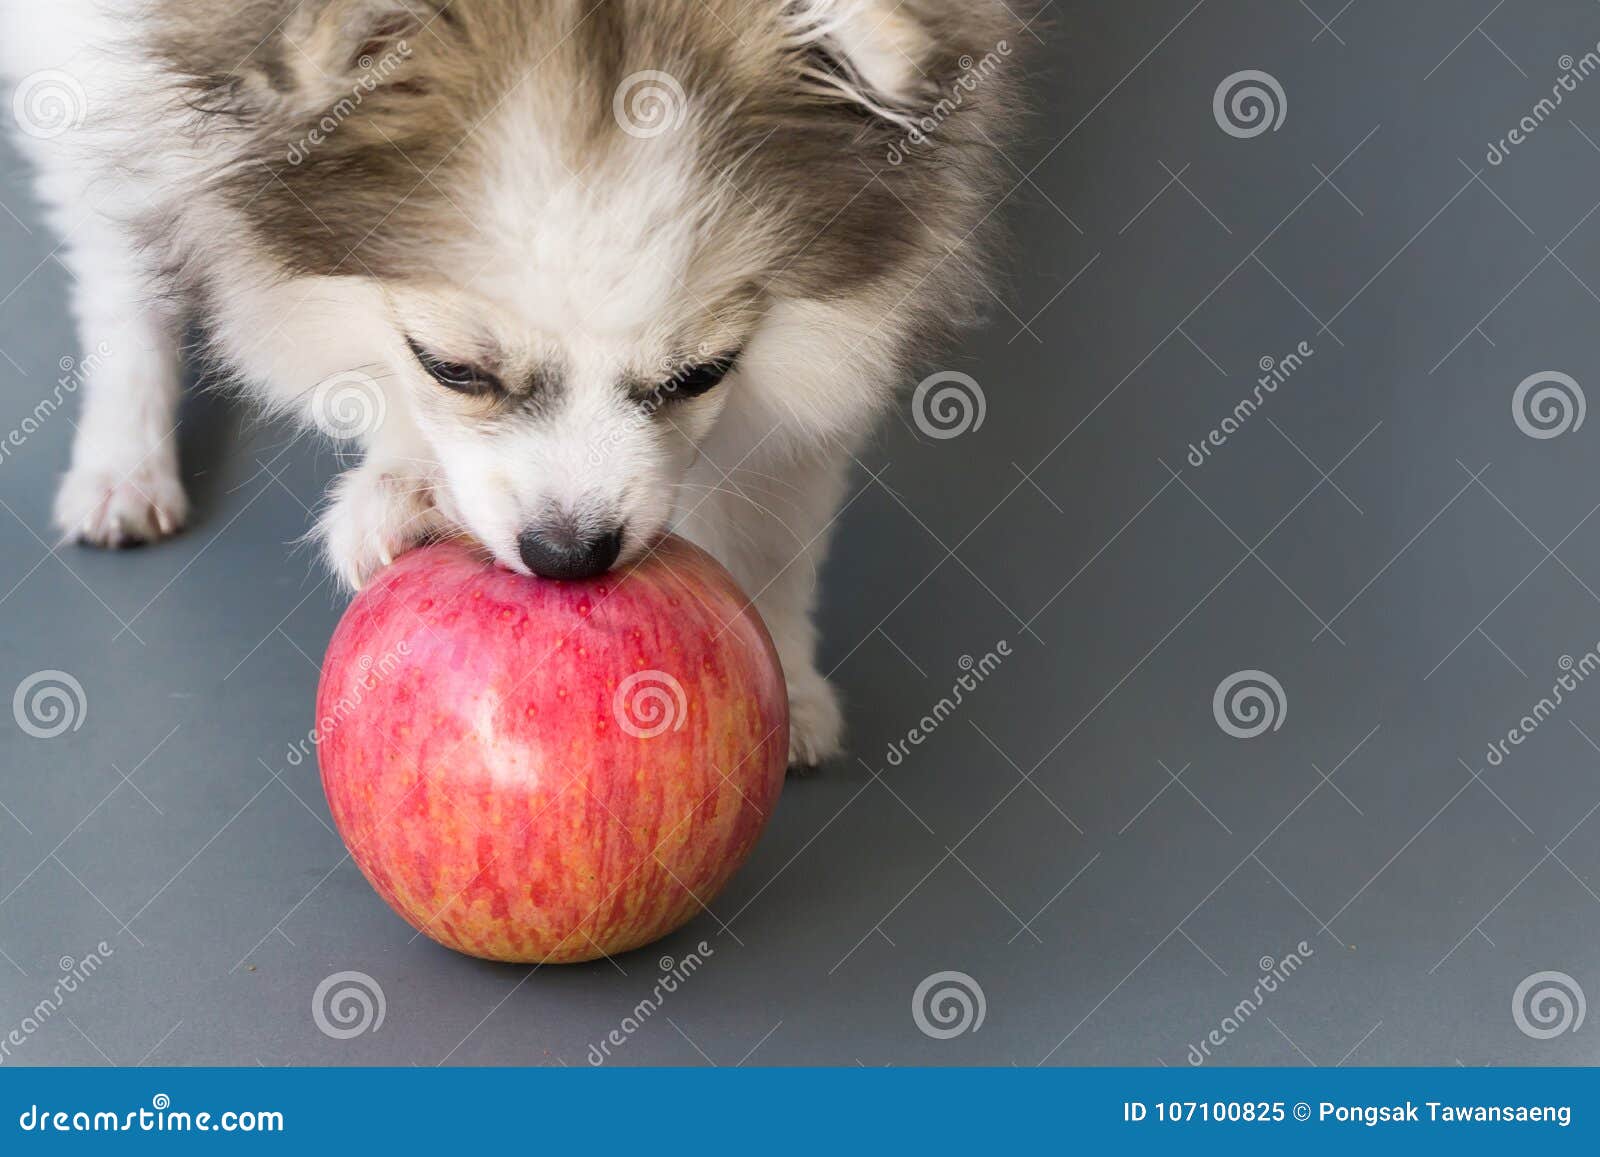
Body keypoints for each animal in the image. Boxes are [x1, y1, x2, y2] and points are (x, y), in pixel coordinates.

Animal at [0, 2, 1017, 768]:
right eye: (452, 367)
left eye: (701, 375)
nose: (569, 553)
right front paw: (403, 488)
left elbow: (774, 508)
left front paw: (785, 674)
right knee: (114, 237)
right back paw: (122, 464)